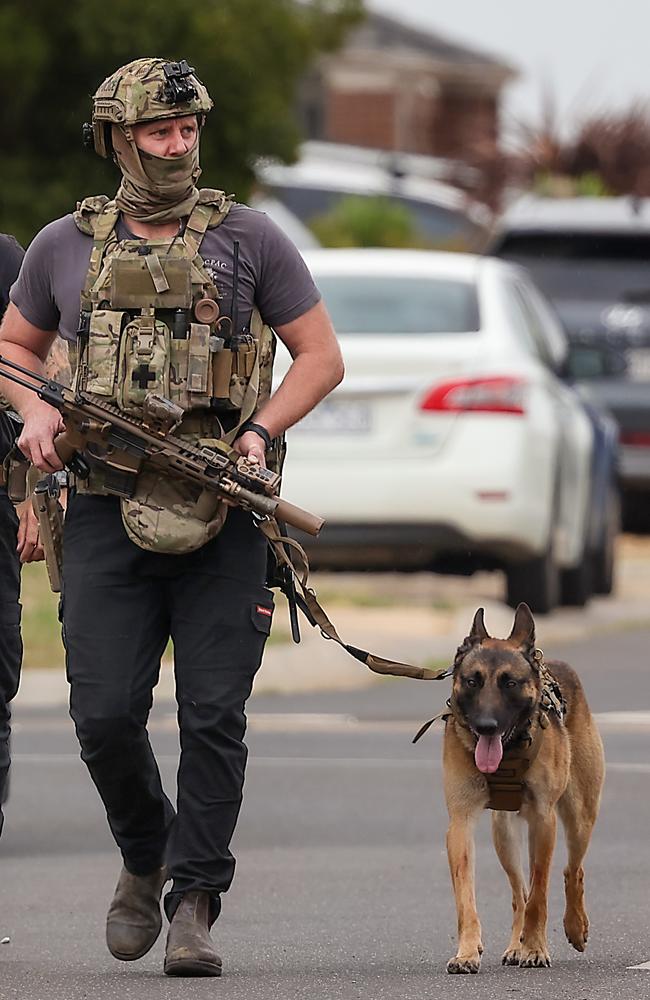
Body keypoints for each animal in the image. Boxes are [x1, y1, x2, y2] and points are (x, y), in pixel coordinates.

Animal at [440, 604, 604, 972]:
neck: (511, 747)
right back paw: (517, 943)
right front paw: (467, 952)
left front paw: (536, 948)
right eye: (472, 681)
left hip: (579, 818)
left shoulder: (544, 821)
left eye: (510, 684)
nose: (486, 726)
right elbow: (466, 898)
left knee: (572, 870)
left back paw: (575, 927)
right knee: (519, 893)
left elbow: (540, 893)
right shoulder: (460, 823)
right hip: (504, 834)